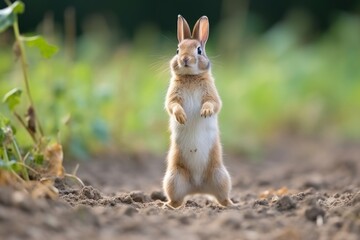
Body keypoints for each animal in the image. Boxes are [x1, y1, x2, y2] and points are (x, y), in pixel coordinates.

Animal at [163, 15, 233, 209]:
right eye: (178, 49)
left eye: (199, 50)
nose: (185, 59)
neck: (190, 77)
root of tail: (197, 187)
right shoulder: (173, 97)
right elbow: (173, 105)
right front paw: (181, 117)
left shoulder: (211, 94)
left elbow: (213, 103)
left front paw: (205, 112)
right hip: (174, 179)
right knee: (177, 199)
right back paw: (167, 206)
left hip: (220, 176)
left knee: (222, 197)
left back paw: (232, 205)